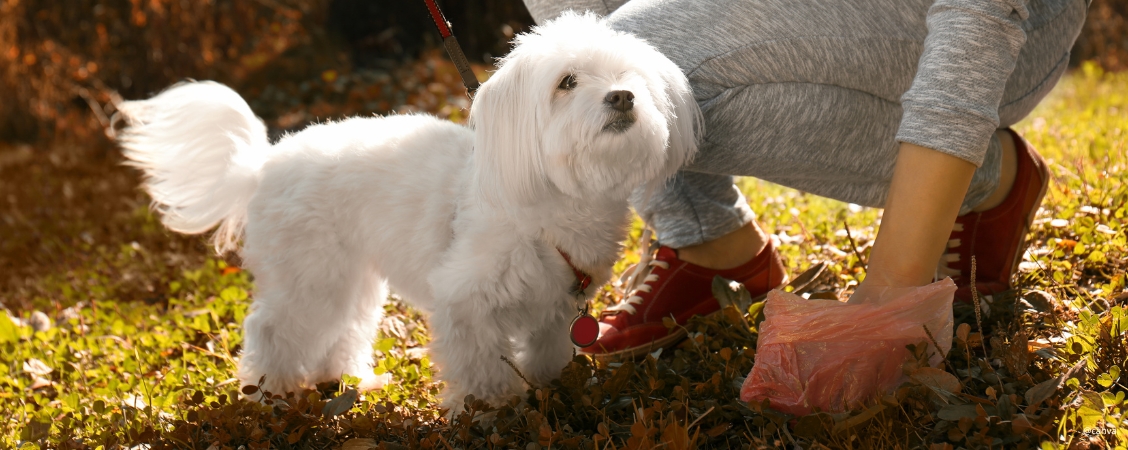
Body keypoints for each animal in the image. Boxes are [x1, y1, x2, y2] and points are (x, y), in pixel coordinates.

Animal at [114, 12, 694, 410]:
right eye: (567, 82)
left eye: (630, 76)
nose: (622, 97)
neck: (552, 203)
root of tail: (263, 163)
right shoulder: (465, 301)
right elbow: (480, 368)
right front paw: (488, 412)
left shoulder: (556, 310)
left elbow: (549, 355)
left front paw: (549, 391)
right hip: (310, 276)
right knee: (272, 330)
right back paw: (270, 396)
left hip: (351, 279)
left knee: (342, 329)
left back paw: (351, 381)